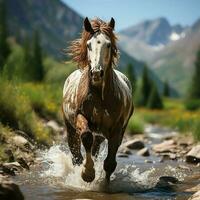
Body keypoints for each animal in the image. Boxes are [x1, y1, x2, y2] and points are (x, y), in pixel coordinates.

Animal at [62, 17, 134, 183]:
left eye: (108, 44)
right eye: (89, 44)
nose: (96, 73)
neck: (99, 96)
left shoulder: (117, 128)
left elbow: (110, 164)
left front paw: (104, 184)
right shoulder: (80, 117)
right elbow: (86, 137)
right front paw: (87, 173)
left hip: (101, 135)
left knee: (94, 150)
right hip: (70, 128)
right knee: (76, 154)